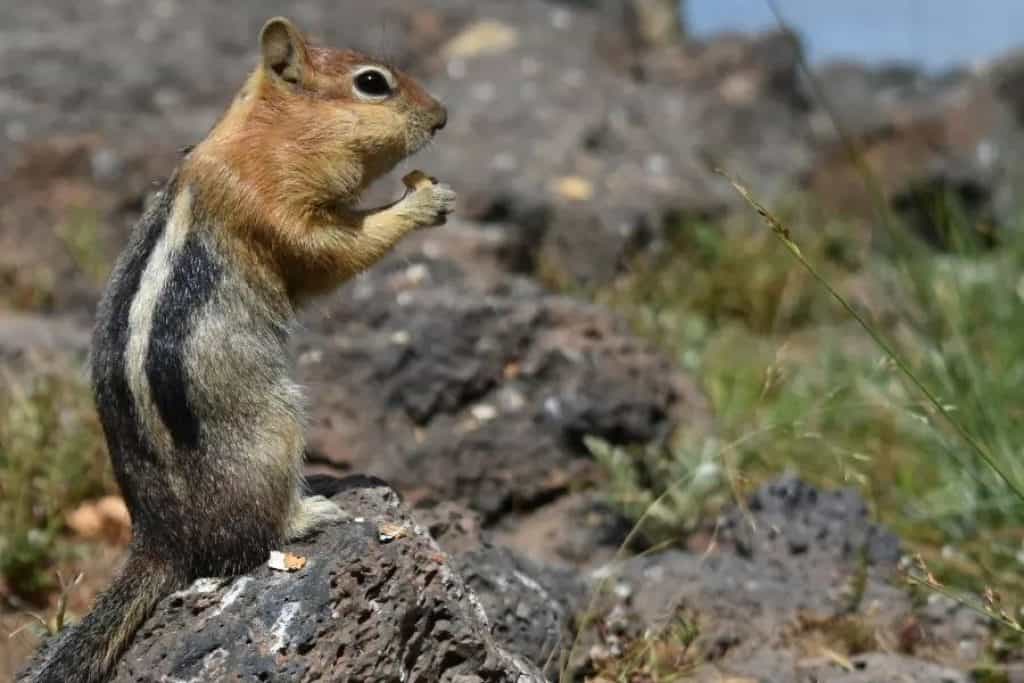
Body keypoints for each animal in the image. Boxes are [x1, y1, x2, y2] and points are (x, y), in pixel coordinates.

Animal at [23, 17, 456, 683]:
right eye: (372, 83)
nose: (440, 117)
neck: (264, 135)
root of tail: (161, 539)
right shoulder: (279, 213)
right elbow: (334, 253)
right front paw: (423, 201)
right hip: (276, 427)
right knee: (254, 539)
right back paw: (313, 513)